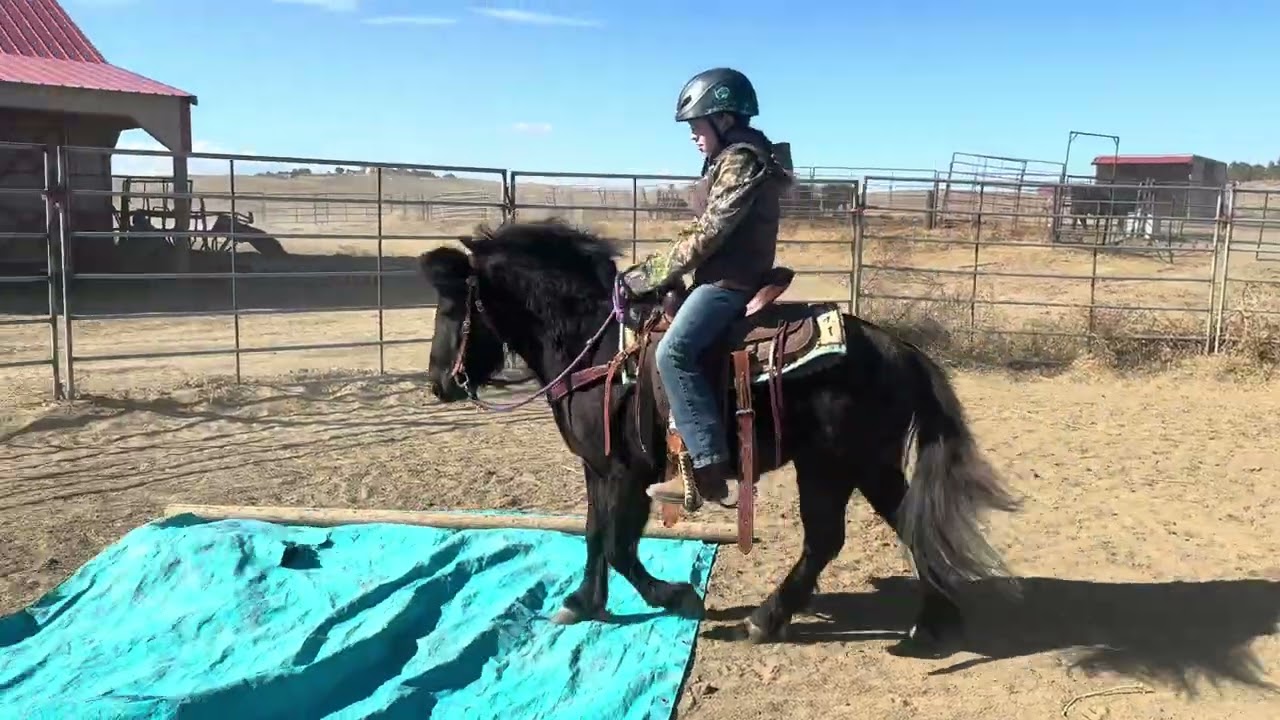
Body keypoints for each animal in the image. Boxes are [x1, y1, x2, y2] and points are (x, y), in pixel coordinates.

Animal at [418, 218, 1021, 653]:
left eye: (450, 306)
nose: (439, 383)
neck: (596, 345)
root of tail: (899, 348)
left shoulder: (628, 473)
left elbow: (618, 544)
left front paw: (675, 595)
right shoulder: (596, 468)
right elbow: (593, 535)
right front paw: (584, 603)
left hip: (830, 467)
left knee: (828, 539)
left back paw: (767, 619)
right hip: (870, 466)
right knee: (910, 522)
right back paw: (935, 620)